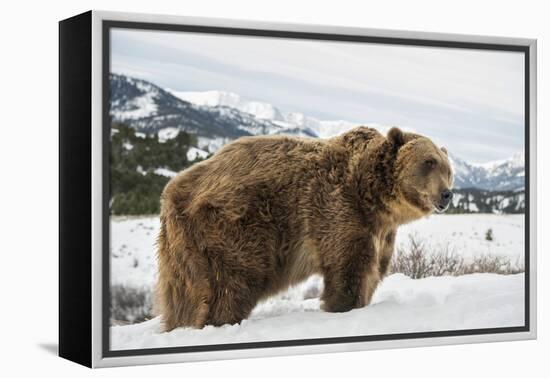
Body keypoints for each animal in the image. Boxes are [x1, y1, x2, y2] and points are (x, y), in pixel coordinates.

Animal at [154, 127, 452, 330]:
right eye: (428, 162)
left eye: (448, 169)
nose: (447, 194)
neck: (373, 197)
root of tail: (171, 192)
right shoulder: (338, 211)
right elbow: (348, 268)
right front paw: (342, 306)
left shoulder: (381, 231)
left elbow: (373, 270)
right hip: (233, 228)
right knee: (231, 284)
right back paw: (222, 320)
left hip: (182, 248)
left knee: (183, 295)